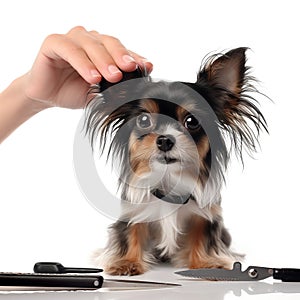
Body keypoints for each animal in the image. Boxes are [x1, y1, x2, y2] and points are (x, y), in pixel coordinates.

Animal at [84, 48, 268, 276]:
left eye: (192, 121)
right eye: (143, 120)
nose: (165, 140)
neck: (169, 179)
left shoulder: (204, 214)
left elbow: (203, 235)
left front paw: (206, 263)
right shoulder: (134, 210)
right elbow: (131, 231)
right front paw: (126, 262)